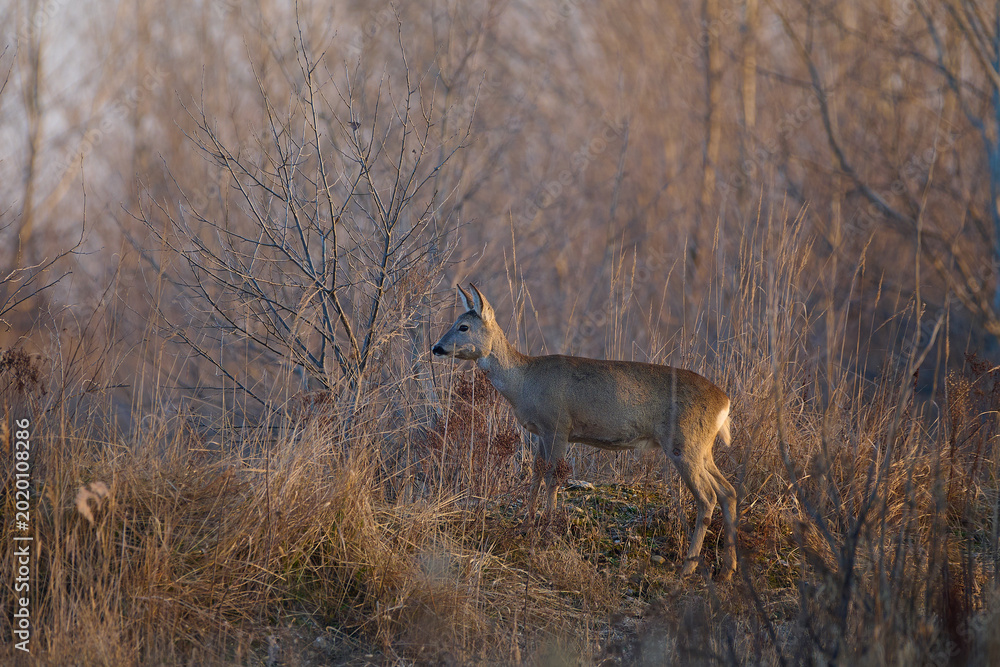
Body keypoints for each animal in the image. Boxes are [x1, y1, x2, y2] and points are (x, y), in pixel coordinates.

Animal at [431, 284, 738, 580]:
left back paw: (688, 568)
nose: (436, 347)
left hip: (683, 443)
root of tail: (724, 402)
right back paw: (727, 570)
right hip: (702, 448)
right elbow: (536, 473)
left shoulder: (558, 426)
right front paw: (525, 524)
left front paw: (547, 530)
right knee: (728, 491)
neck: (523, 382)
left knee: (707, 497)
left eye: (463, 326)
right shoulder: (540, 432)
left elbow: (552, 477)